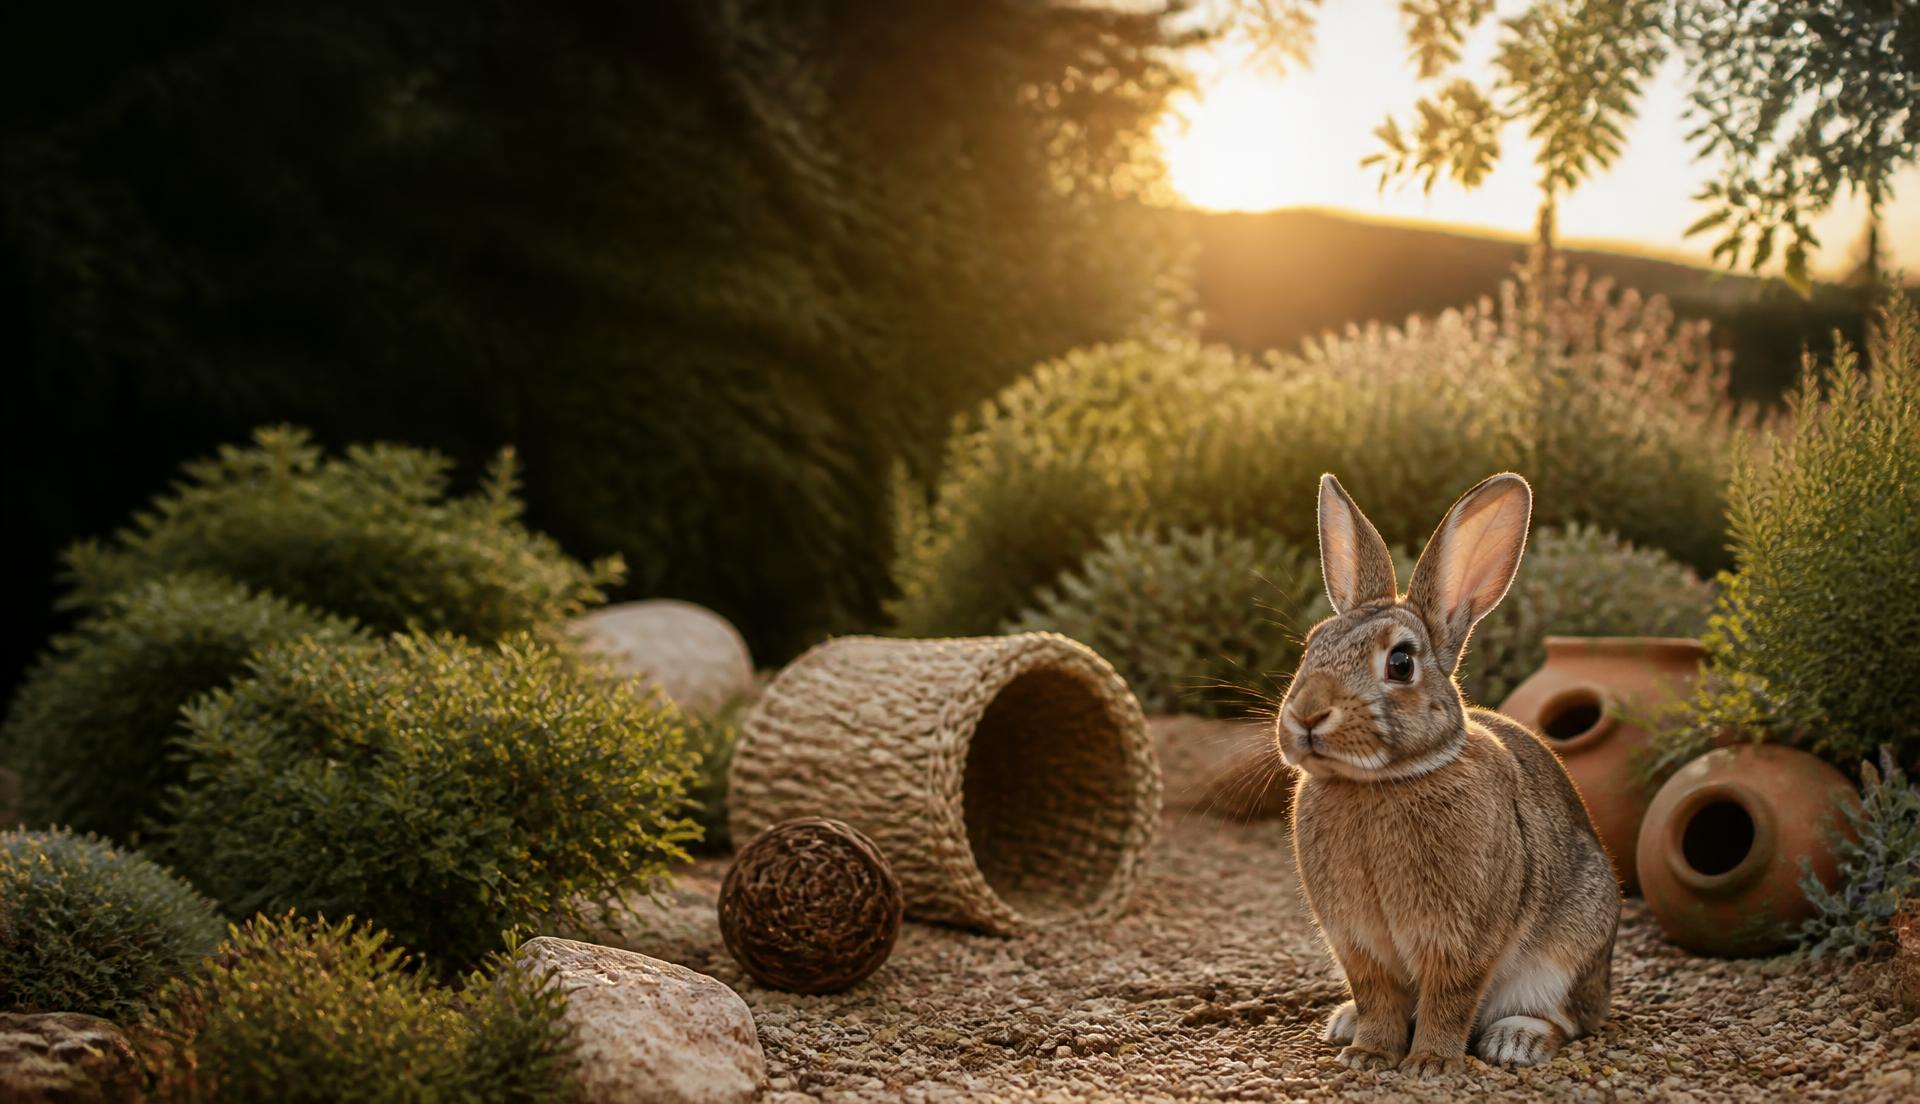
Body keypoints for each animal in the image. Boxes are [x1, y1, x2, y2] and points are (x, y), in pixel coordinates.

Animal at [1276, 472, 1618, 1077]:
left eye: (1401, 663)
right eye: (1312, 646)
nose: (1308, 714)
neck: (1383, 781)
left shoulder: (1461, 940)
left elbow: (1449, 997)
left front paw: (1431, 1063)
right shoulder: (1358, 944)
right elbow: (1378, 996)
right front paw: (1368, 1054)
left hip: (1571, 946)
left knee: (1571, 1018)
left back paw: (1516, 1040)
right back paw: (1345, 1025)